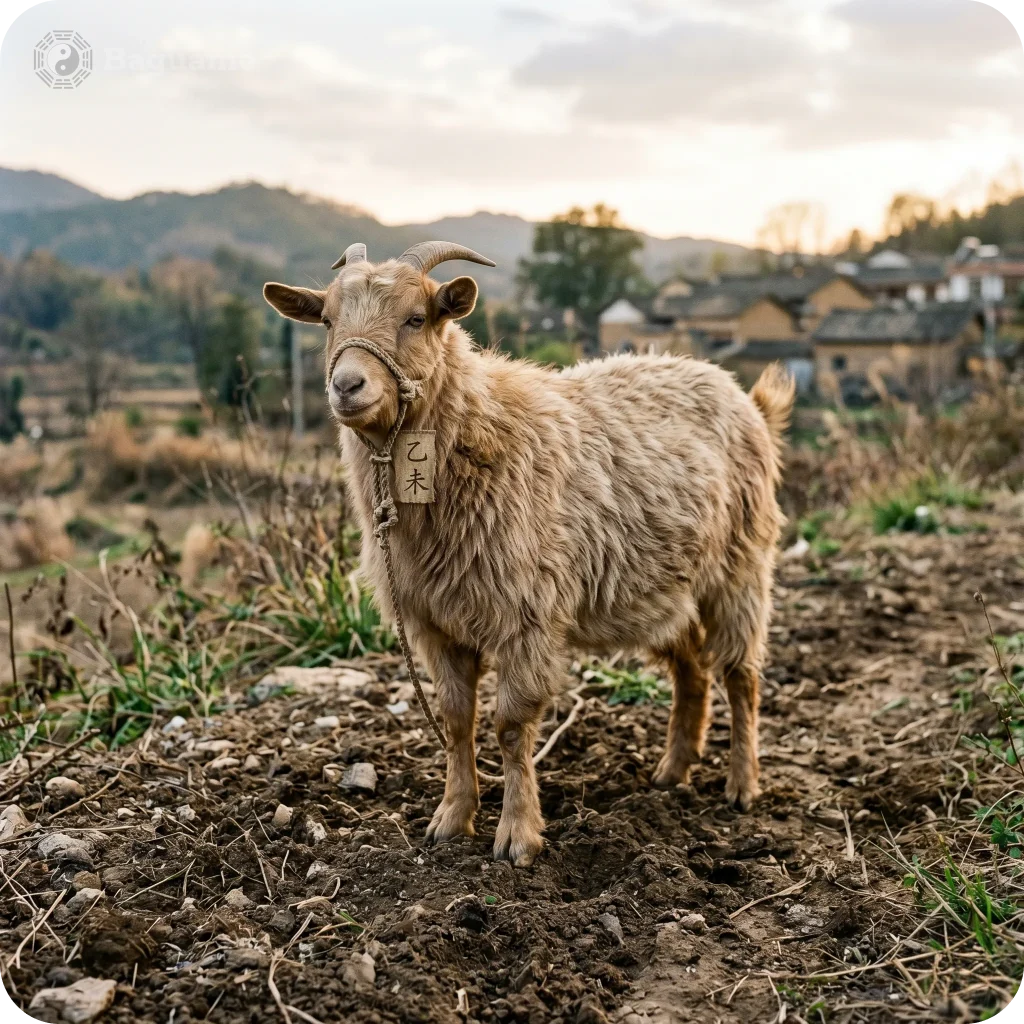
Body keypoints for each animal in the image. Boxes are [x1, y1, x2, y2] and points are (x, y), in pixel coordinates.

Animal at [264, 241, 794, 866]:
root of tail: (746, 399)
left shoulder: (527, 615)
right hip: (666, 586)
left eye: (416, 318)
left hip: (741, 565)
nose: (347, 386)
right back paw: (672, 771)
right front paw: (451, 819)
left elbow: (511, 726)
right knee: (692, 666)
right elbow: (456, 720)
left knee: (741, 674)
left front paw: (517, 837)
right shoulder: (434, 622)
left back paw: (742, 785)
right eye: (326, 321)